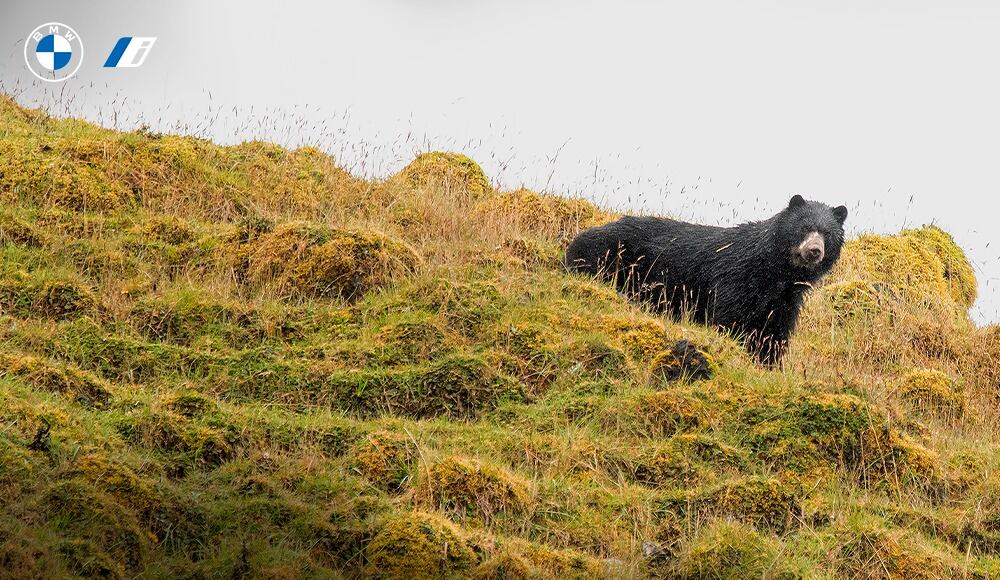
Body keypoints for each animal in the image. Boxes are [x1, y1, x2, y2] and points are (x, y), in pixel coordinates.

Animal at [565, 195, 848, 366]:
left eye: (827, 234)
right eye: (804, 228)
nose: (814, 251)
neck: (775, 274)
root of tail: (574, 241)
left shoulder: (785, 300)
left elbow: (773, 334)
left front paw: (767, 363)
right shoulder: (735, 278)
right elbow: (728, 318)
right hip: (609, 256)